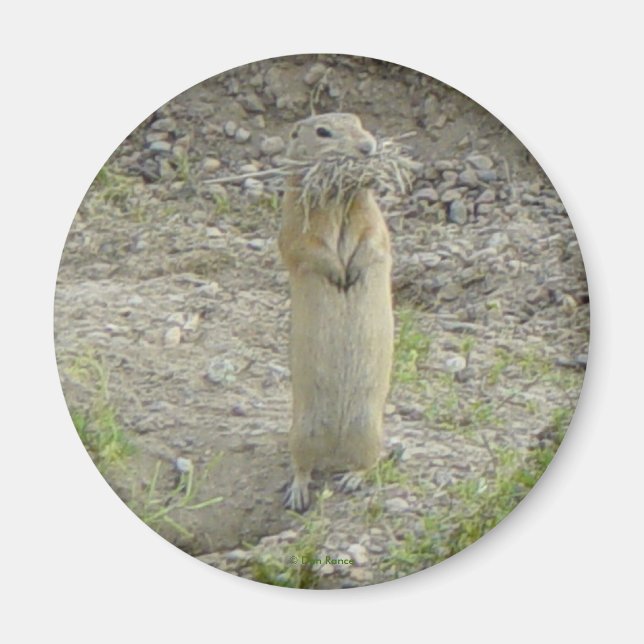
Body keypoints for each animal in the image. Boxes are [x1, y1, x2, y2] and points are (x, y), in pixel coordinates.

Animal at [278, 113, 394, 512]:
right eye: (322, 132)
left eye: (360, 121)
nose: (368, 147)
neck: (340, 198)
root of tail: (334, 452)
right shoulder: (296, 219)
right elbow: (307, 247)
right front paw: (339, 275)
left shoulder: (372, 217)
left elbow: (374, 240)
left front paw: (351, 274)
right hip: (300, 432)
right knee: (301, 465)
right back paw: (297, 495)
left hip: (370, 430)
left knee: (369, 462)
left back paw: (351, 480)